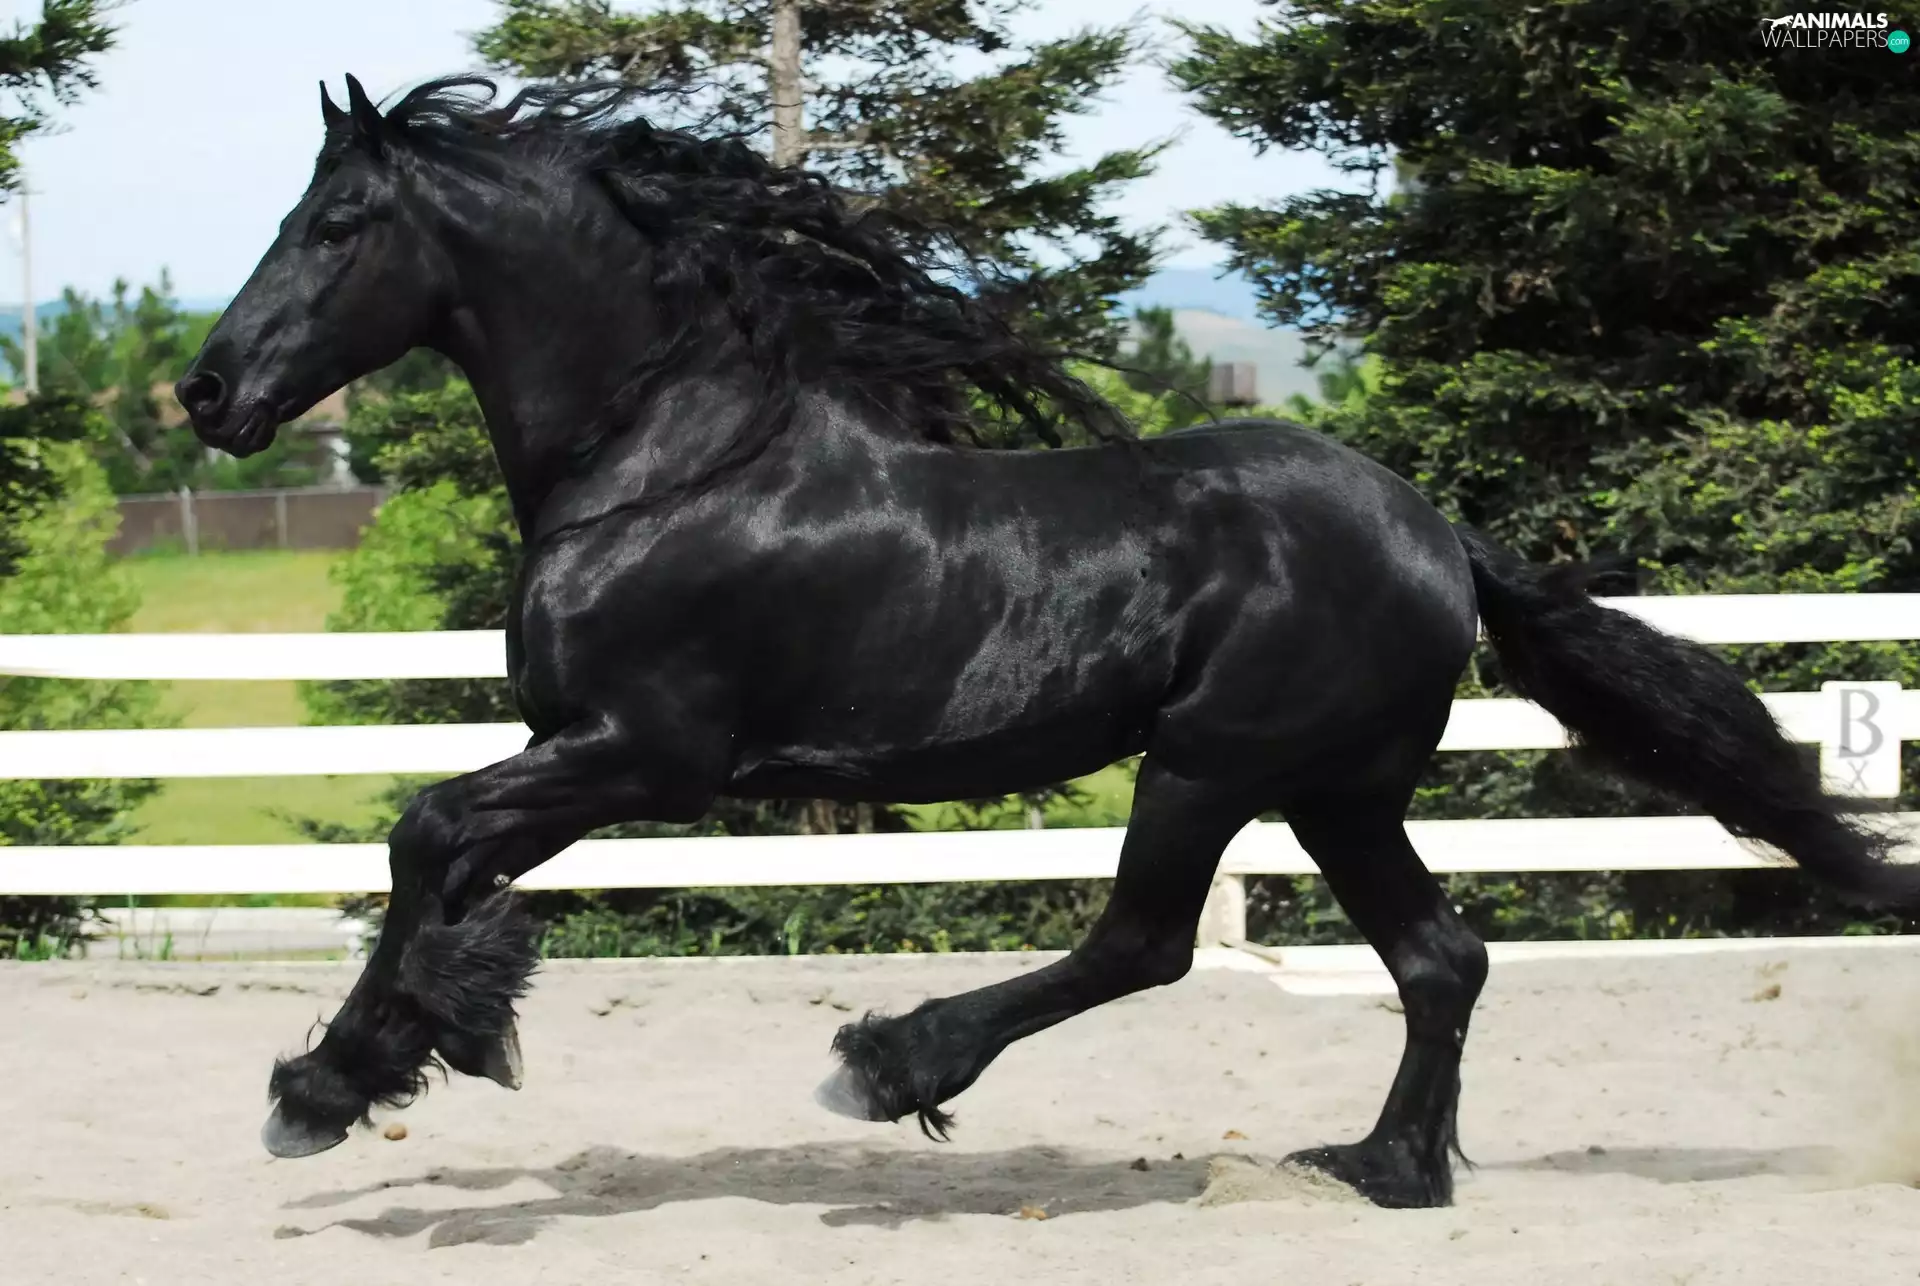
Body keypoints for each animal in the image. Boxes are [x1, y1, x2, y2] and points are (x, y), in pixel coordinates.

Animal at [175, 74, 1919, 1209]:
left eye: (335, 223)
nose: (205, 391)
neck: (666, 459)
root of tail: (1437, 533)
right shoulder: (581, 754)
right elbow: (444, 867)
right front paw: (406, 1048)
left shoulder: (644, 755)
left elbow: (422, 835)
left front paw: (335, 1084)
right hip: (1337, 788)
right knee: (1441, 956)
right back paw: (1385, 1169)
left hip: (1209, 761)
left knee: (1147, 942)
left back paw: (892, 1063)